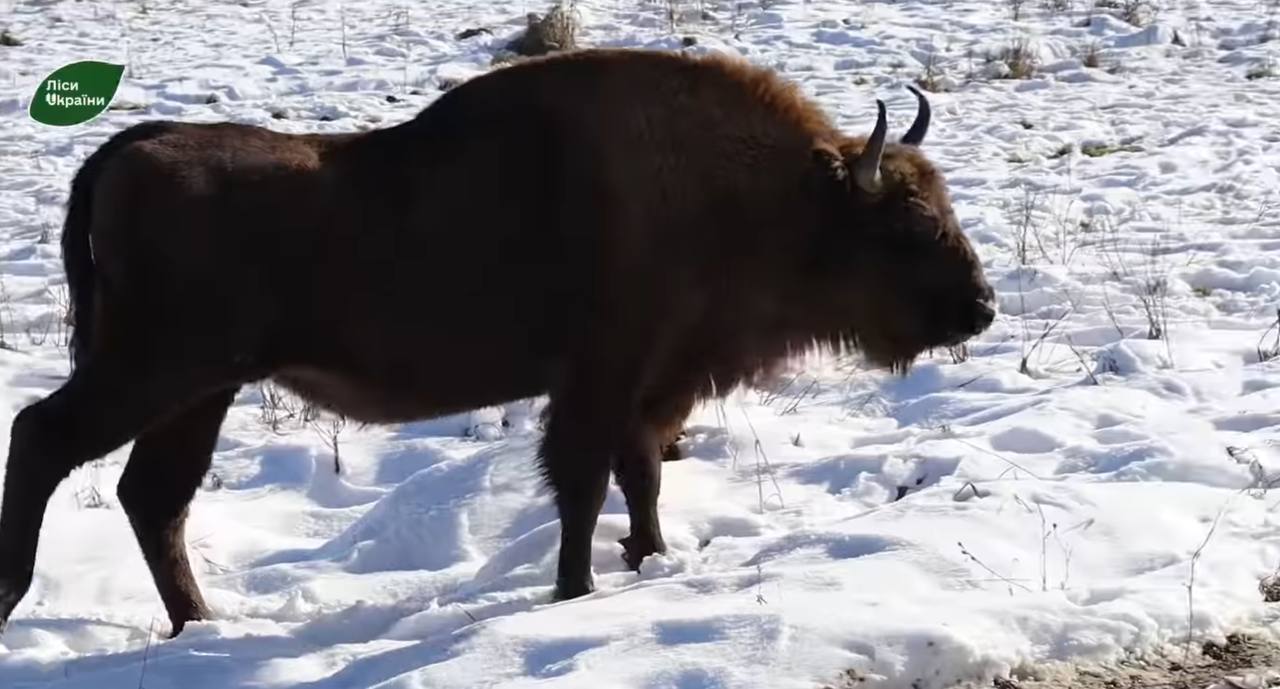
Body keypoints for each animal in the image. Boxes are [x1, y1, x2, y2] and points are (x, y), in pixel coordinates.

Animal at [0, 47, 993, 632]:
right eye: (908, 223)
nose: (980, 307)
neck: (759, 195)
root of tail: (128, 150)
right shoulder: (600, 380)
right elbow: (585, 484)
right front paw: (578, 589)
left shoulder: (646, 388)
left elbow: (640, 474)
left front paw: (648, 559)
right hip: (157, 370)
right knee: (45, 436)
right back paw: (21, 597)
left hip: (202, 390)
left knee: (152, 496)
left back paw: (202, 625)